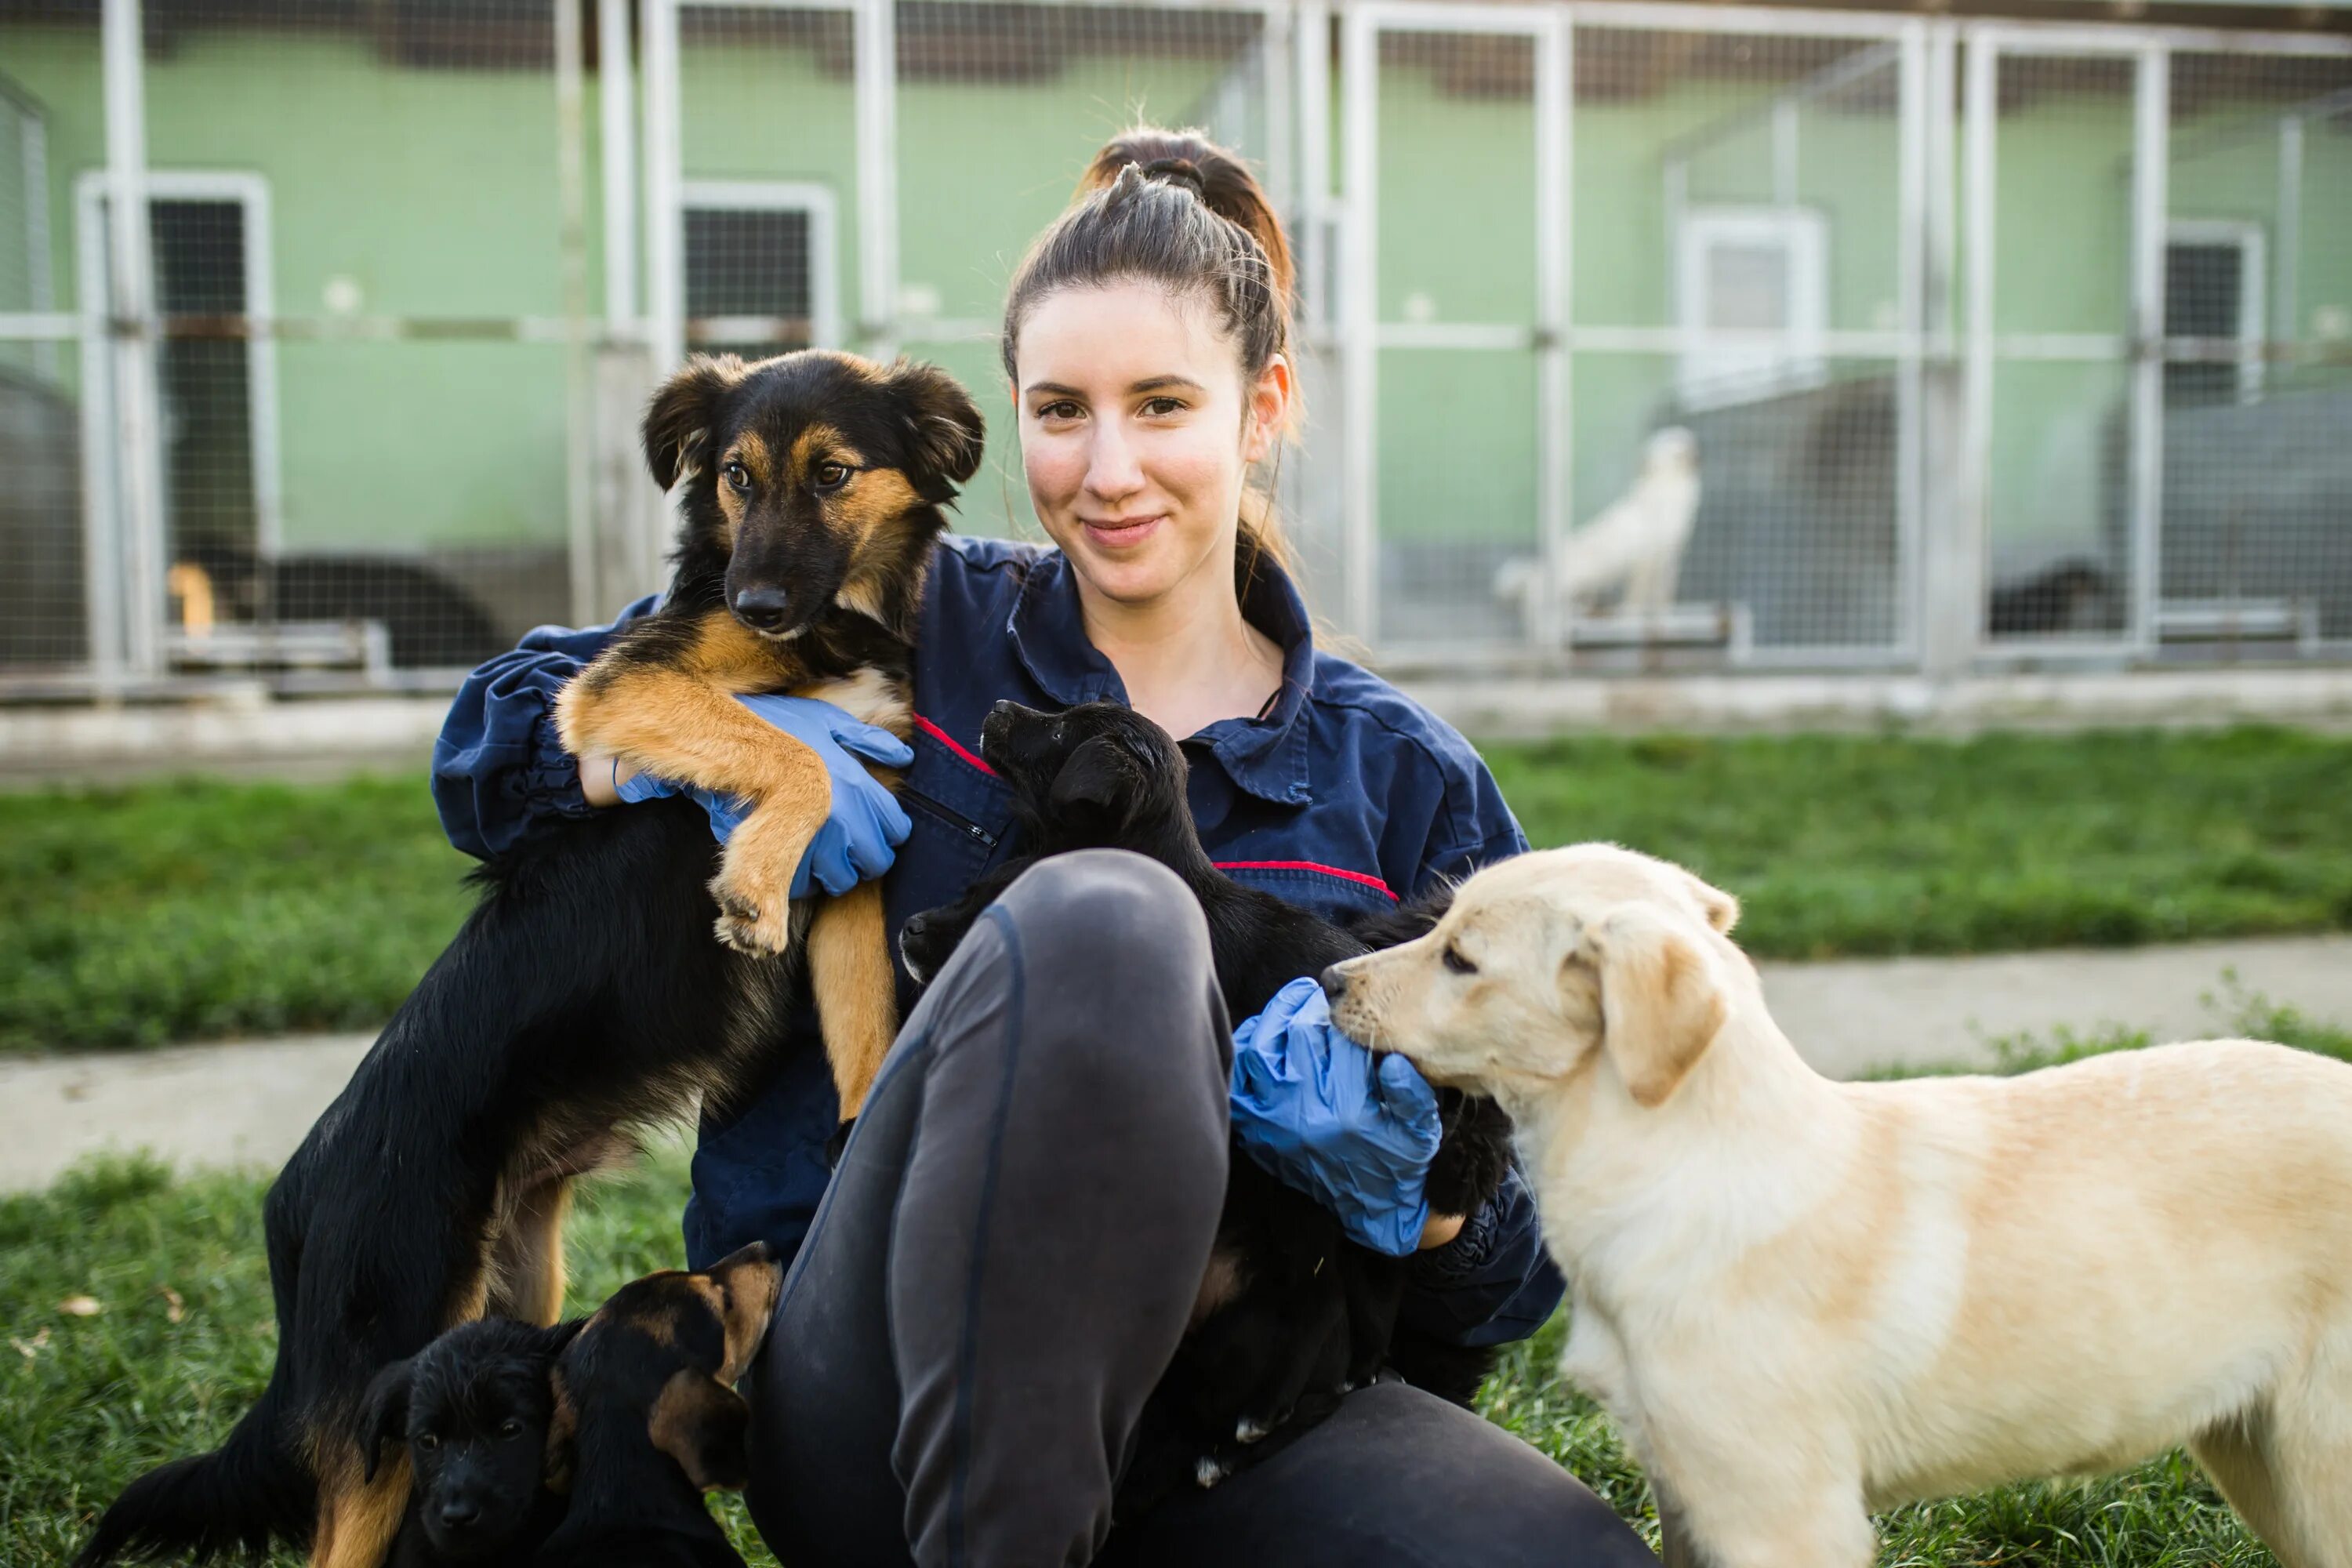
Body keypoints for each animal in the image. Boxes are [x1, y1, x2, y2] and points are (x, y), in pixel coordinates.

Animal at [1327, 846, 2352, 1568]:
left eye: (1461, 957)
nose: (1332, 980)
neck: (1684, 1162)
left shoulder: (1784, 1517)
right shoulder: (1688, 1493)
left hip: (2316, 1466)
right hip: (2256, 1455)